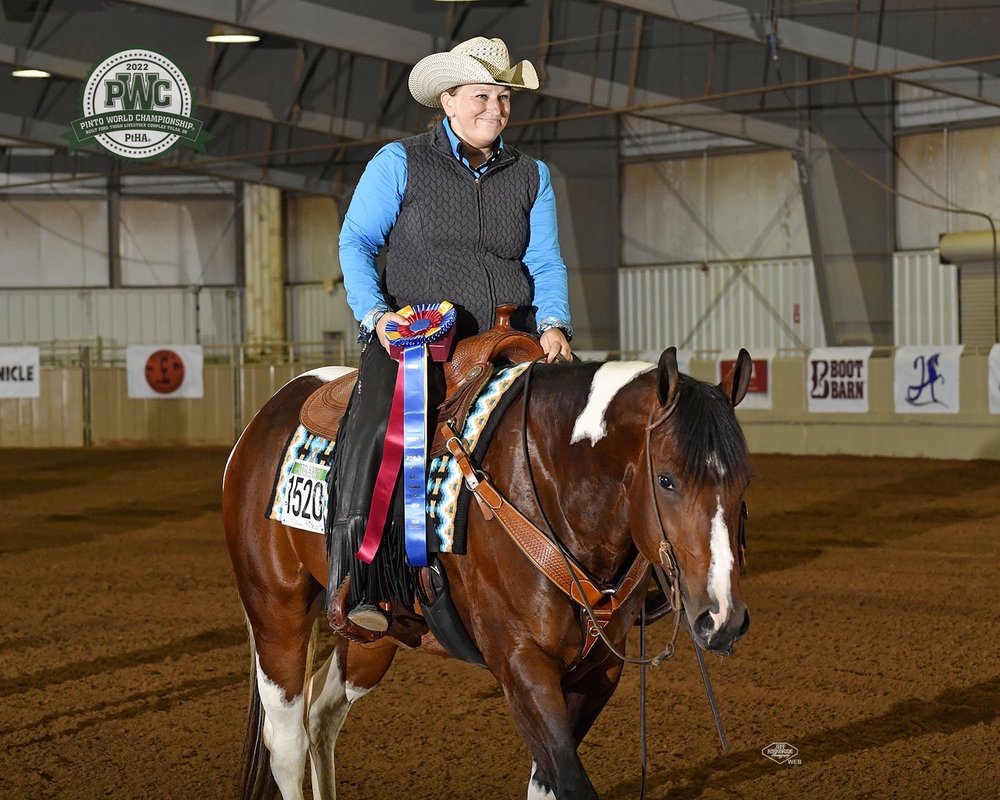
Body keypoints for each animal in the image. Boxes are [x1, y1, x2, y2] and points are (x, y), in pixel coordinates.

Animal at [222, 345, 754, 800]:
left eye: (744, 479)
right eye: (666, 479)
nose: (723, 619)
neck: (548, 482)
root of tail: (263, 419)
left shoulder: (600, 668)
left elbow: (547, 783)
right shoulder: (521, 665)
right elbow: (570, 782)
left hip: (371, 638)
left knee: (321, 717)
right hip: (276, 616)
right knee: (286, 743)